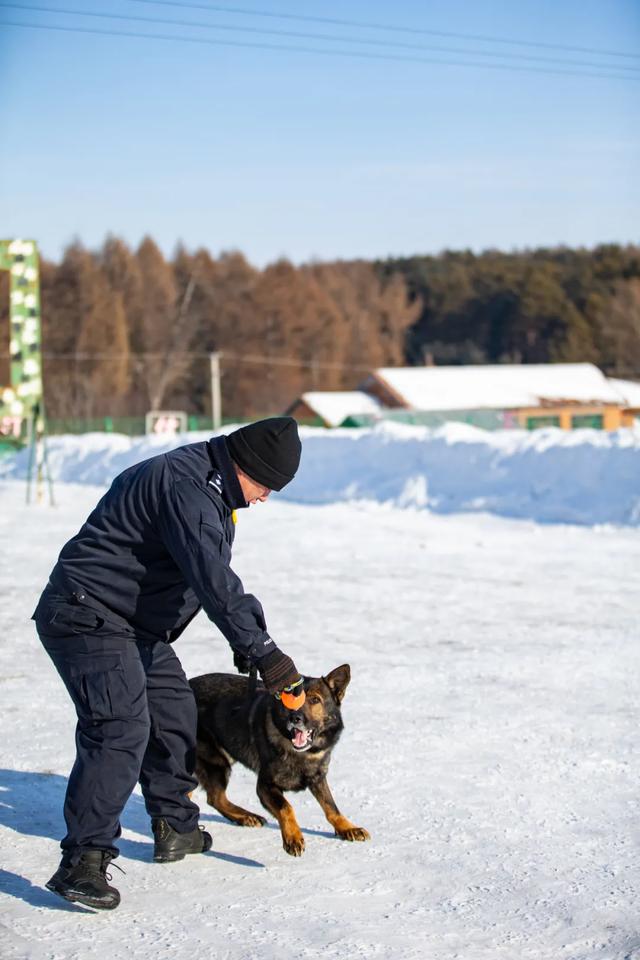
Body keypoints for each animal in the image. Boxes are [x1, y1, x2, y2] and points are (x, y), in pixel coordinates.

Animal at [188, 664, 370, 860]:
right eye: (291, 700)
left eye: (315, 700)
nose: (295, 718)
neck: (303, 753)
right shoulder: (265, 786)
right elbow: (286, 807)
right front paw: (293, 837)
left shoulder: (317, 778)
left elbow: (331, 807)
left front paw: (346, 827)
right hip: (216, 762)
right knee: (215, 798)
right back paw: (245, 816)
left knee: (209, 797)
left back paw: (245, 817)